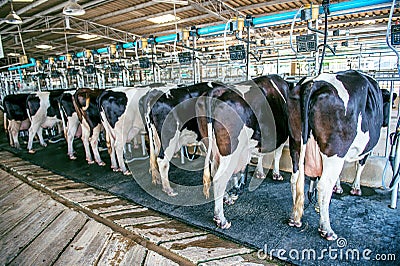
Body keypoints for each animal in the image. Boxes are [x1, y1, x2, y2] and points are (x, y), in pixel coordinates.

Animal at [195, 75, 290, 229]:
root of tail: (215, 92)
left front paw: (257, 173)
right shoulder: (283, 136)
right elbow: (277, 155)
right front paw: (276, 174)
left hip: (213, 148)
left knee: (215, 172)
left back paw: (227, 198)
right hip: (230, 151)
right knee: (219, 179)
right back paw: (221, 219)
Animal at [288, 69, 390, 241]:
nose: (387, 122)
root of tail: (315, 82)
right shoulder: (364, 151)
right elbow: (359, 166)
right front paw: (355, 188)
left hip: (295, 143)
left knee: (295, 179)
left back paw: (295, 218)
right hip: (335, 150)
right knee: (324, 185)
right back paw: (326, 229)